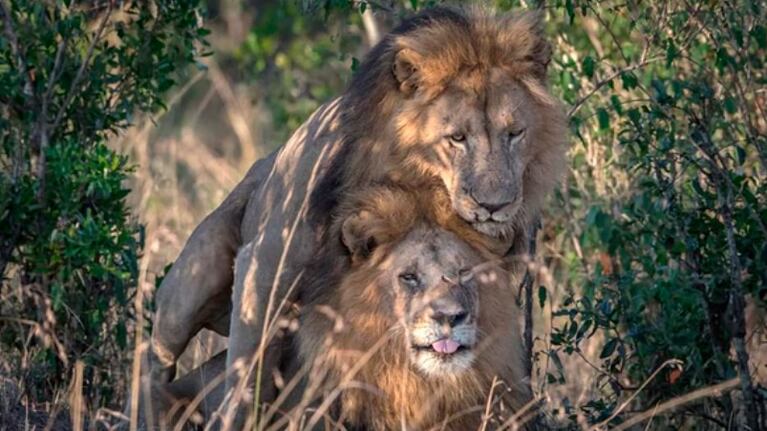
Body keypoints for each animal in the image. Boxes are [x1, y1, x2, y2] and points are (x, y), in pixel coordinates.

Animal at [141, 6, 566, 427]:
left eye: (515, 133)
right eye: (457, 138)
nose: (495, 206)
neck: (418, 185)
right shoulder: (264, 266)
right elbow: (247, 377)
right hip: (193, 283)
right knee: (156, 361)